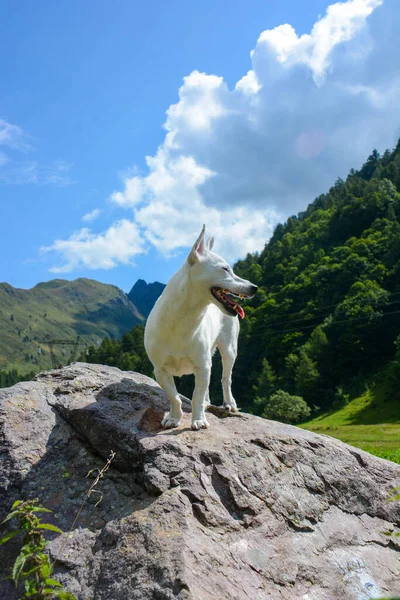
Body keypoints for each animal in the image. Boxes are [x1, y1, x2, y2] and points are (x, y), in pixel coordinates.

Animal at [145, 223, 258, 428]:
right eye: (225, 269)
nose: (255, 287)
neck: (184, 319)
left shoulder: (203, 366)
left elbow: (196, 395)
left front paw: (198, 420)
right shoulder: (161, 371)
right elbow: (174, 397)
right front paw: (174, 417)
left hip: (229, 350)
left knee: (225, 378)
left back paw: (229, 403)